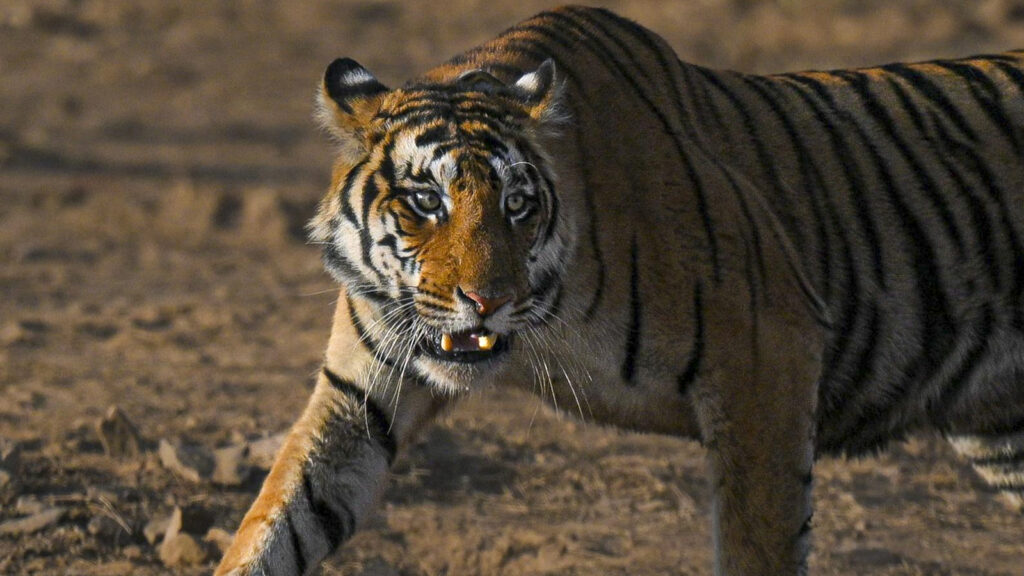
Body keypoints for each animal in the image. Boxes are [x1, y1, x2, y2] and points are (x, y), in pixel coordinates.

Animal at [215, 5, 1024, 576]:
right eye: (425, 203)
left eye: (518, 204)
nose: (486, 300)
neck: (543, 322)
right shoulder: (358, 396)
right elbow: (277, 519)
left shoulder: (769, 358)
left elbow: (758, 541)